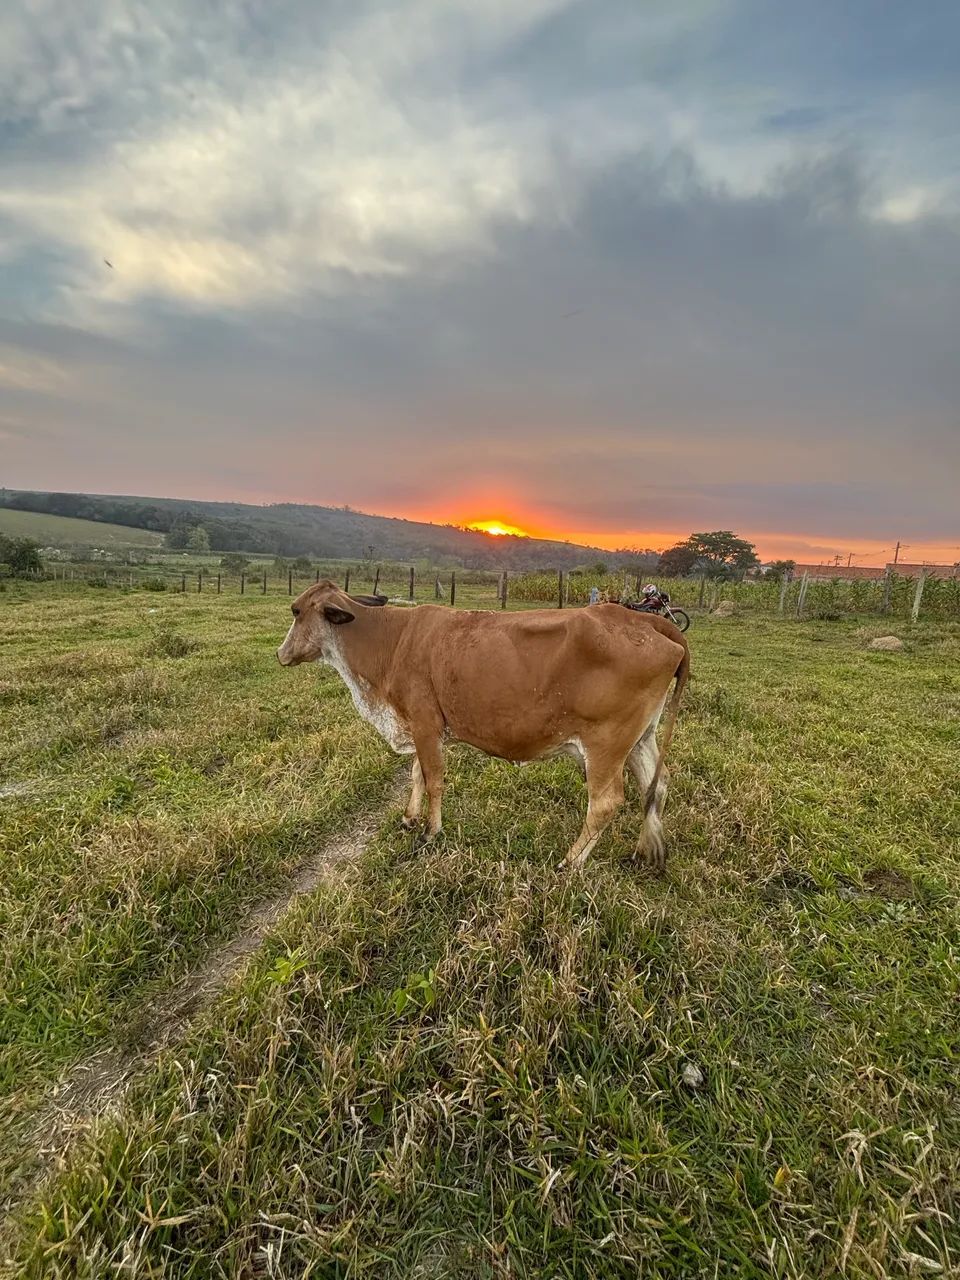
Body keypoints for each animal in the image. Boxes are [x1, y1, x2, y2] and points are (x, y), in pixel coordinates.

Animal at [277, 582, 689, 870]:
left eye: (297, 611)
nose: (280, 653)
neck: (391, 640)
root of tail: (646, 620)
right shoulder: (420, 726)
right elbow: (416, 775)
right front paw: (409, 818)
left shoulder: (425, 725)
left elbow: (433, 779)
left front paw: (430, 831)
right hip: (640, 740)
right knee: (657, 784)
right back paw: (643, 852)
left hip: (606, 746)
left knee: (606, 803)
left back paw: (570, 862)